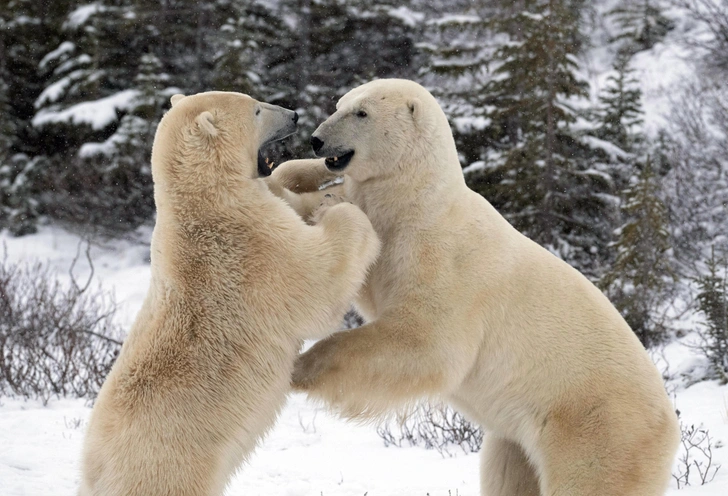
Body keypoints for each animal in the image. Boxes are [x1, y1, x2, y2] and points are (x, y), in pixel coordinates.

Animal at [81, 91, 382, 494]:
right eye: (256, 109)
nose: (294, 114)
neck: (207, 199)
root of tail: (96, 471)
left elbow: (286, 191)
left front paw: (323, 173)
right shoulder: (253, 247)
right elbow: (319, 282)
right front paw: (336, 206)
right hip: (166, 470)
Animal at [280, 80, 684, 496]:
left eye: (361, 113)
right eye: (339, 104)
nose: (316, 140)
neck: (420, 200)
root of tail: (670, 424)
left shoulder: (445, 260)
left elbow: (427, 343)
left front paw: (303, 366)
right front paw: (307, 192)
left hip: (597, 428)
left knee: (591, 478)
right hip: (518, 439)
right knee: (509, 473)